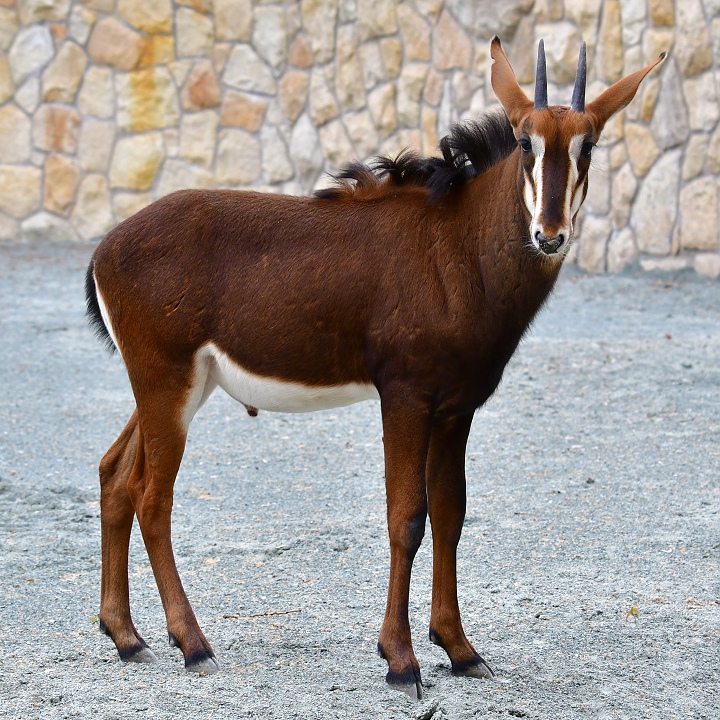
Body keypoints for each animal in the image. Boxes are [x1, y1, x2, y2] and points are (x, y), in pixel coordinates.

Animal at [87, 38, 668, 696]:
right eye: (526, 143)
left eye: (586, 145)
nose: (549, 234)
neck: (459, 244)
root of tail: (105, 248)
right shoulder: (405, 396)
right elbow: (406, 517)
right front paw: (401, 660)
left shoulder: (456, 408)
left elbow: (451, 515)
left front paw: (461, 649)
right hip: (167, 382)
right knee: (151, 497)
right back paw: (193, 645)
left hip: (179, 387)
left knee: (115, 474)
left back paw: (127, 637)